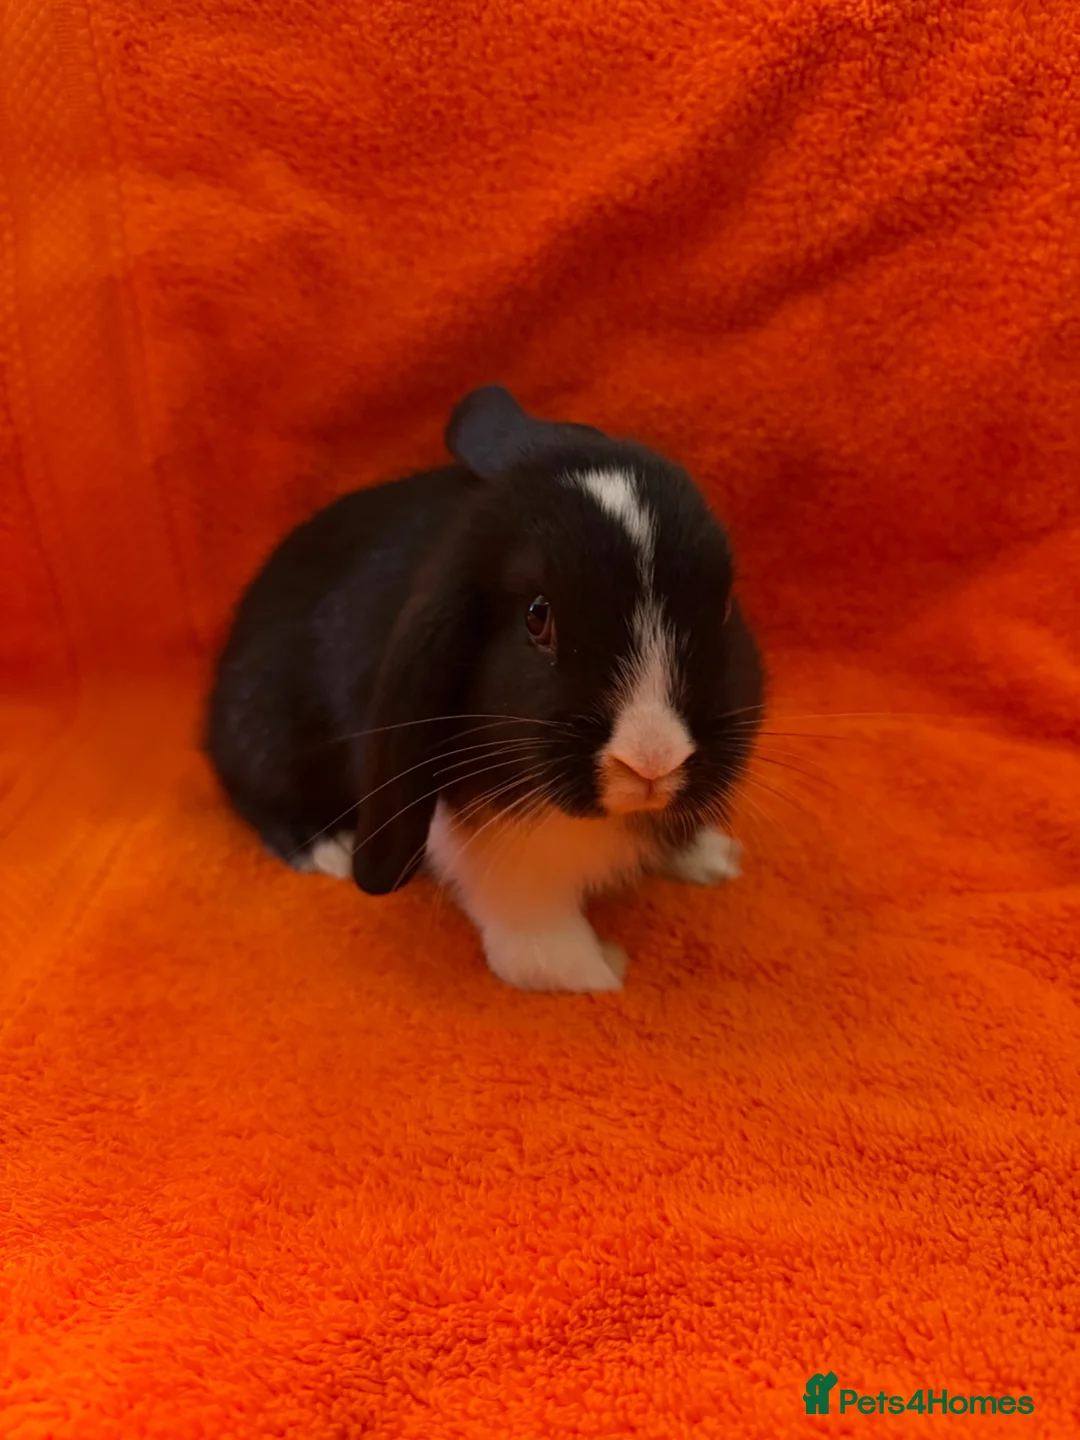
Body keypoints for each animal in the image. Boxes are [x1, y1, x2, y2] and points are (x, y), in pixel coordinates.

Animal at [205, 385, 764, 992]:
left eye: (724, 606)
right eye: (537, 616)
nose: (653, 761)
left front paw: (712, 858)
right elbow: (528, 904)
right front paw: (592, 971)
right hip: (265, 735)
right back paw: (327, 846)